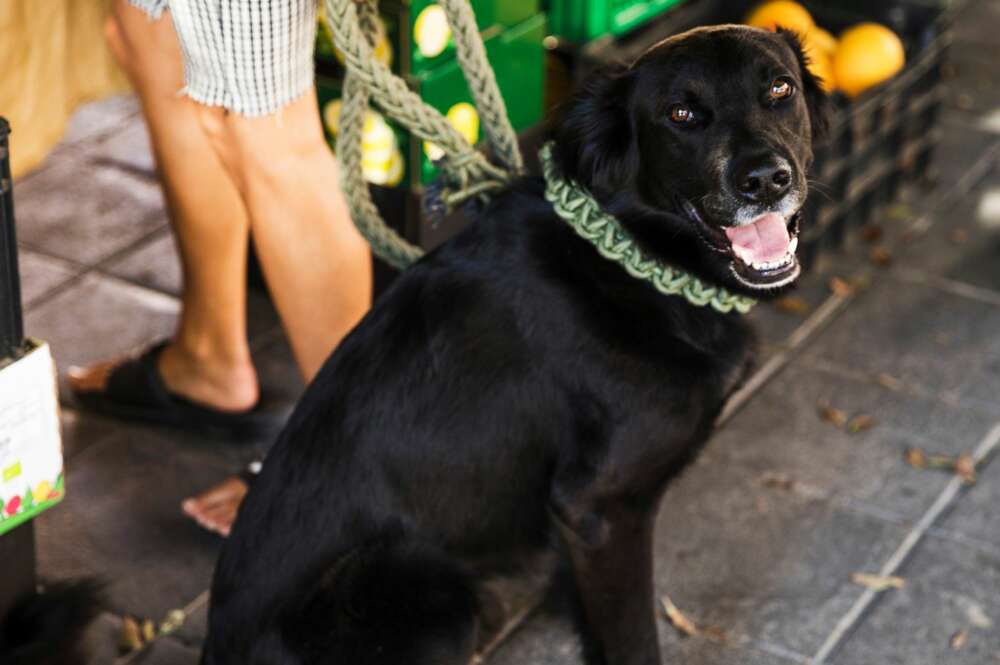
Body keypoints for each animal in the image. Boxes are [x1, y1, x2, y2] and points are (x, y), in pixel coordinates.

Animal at [201, 26, 828, 664]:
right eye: (682, 114)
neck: (628, 258)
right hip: (430, 591)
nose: (765, 180)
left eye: (780, 89)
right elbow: (632, 639)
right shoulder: (604, 508)